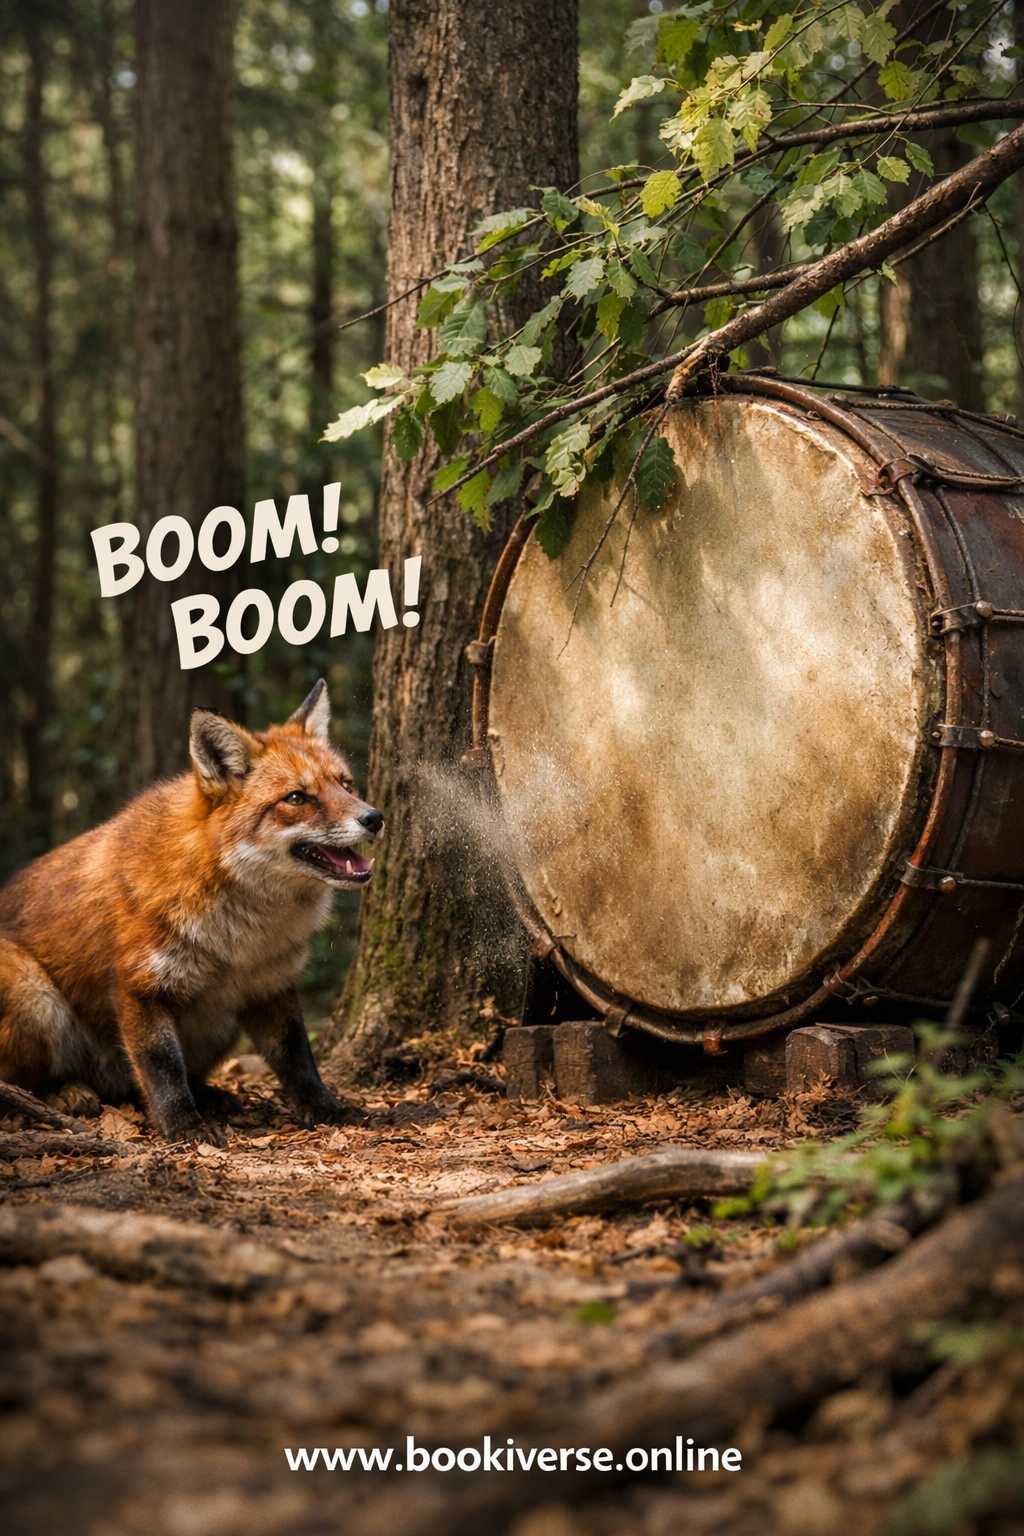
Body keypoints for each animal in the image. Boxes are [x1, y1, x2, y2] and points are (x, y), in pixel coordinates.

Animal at [0, 679, 382, 1143]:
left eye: (346, 784)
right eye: (297, 797)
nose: (374, 817)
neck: (240, 938)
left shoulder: (270, 984)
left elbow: (297, 1059)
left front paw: (324, 1107)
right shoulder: (140, 987)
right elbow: (163, 1068)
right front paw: (183, 1126)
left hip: (218, 1020)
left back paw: (211, 1095)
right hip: (33, 994)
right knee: (17, 1082)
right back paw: (64, 1094)